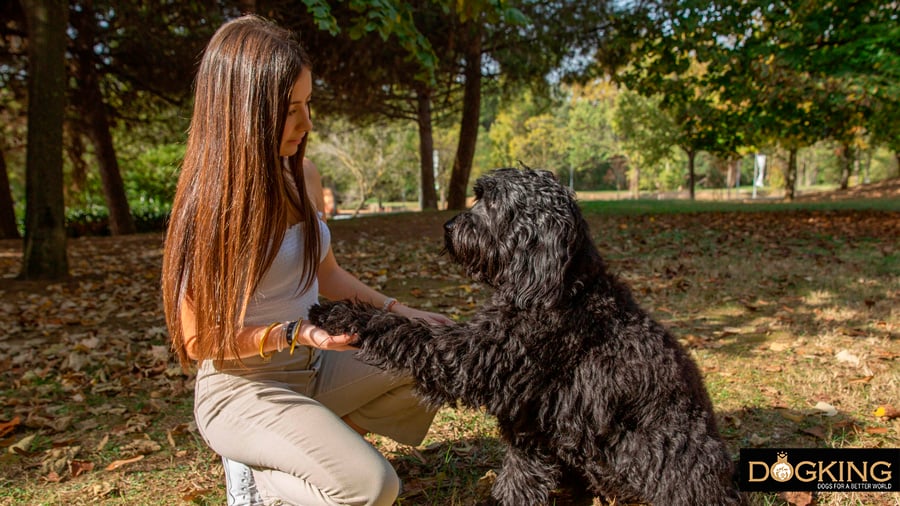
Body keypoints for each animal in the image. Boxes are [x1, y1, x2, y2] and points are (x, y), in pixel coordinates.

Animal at [310, 168, 740, 504]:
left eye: (493, 202)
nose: (448, 227)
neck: (564, 288)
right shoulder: (531, 428)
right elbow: (520, 477)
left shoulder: (475, 358)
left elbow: (412, 333)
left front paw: (343, 313)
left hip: (660, 456)